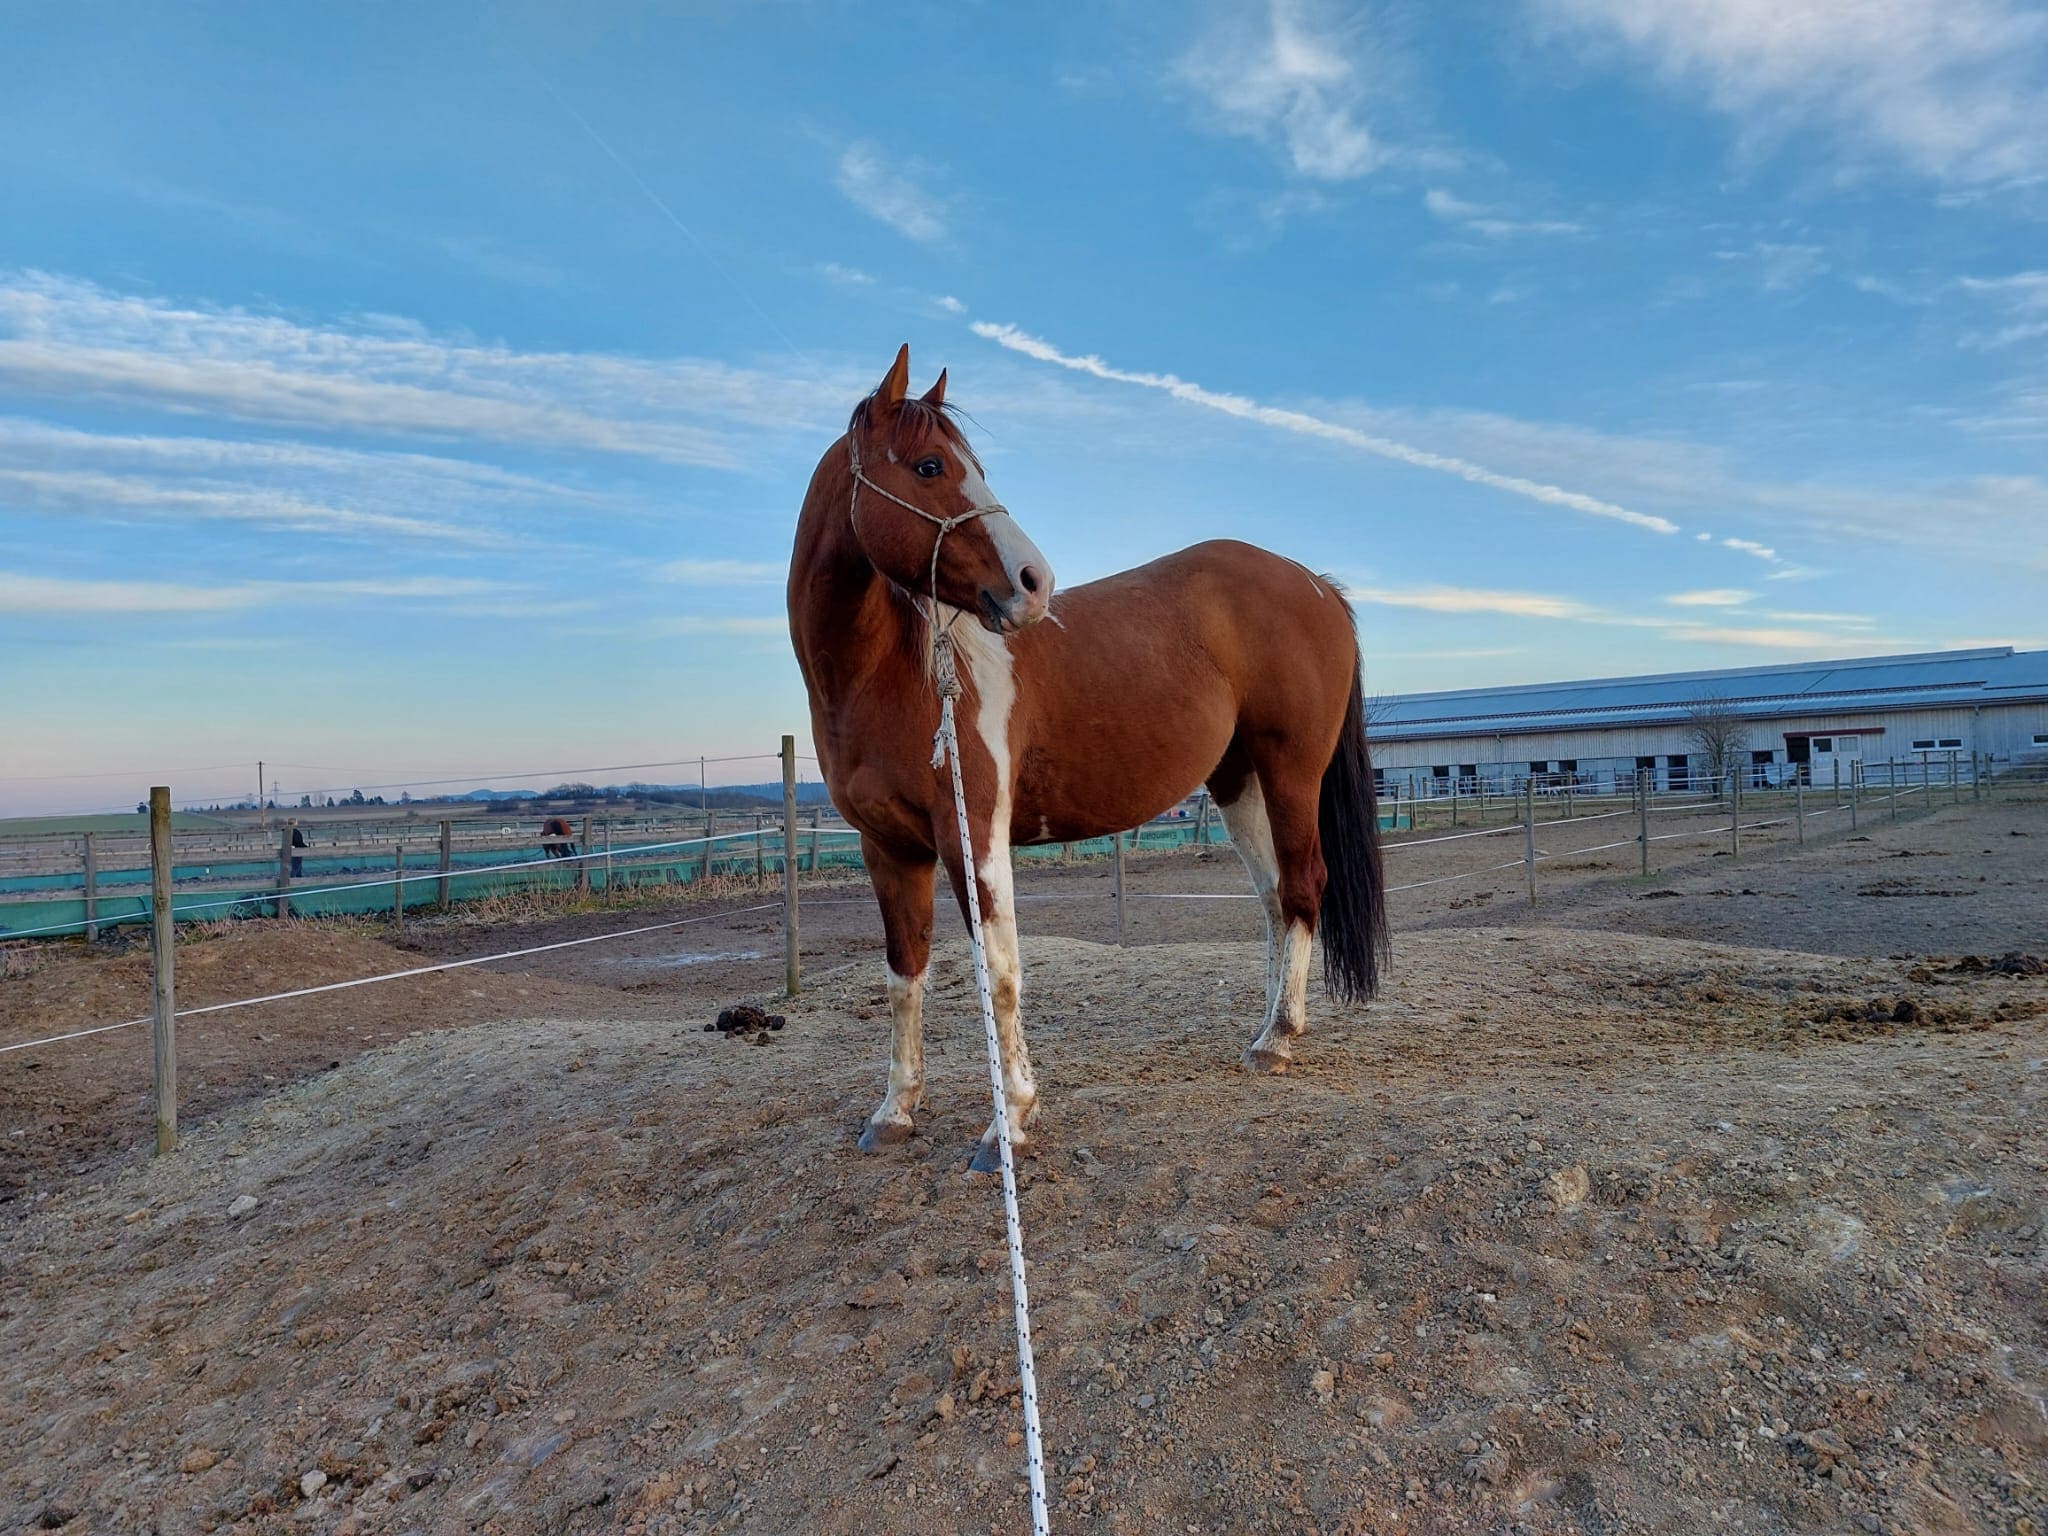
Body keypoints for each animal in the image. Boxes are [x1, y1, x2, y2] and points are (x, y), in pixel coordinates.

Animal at [786, 346, 1392, 1163]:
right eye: (929, 466)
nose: (1033, 583)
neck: (891, 674)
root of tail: (1317, 587)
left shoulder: (973, 834)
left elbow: (999, 973)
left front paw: (1010, 1120)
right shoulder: (888, 848)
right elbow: (903, 976)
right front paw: (894, 1111)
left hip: (1292, 770)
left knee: (1302, 888)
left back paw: (1278, 1041)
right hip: (1238, 781)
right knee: (1272, 897)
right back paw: (1267, 1028)